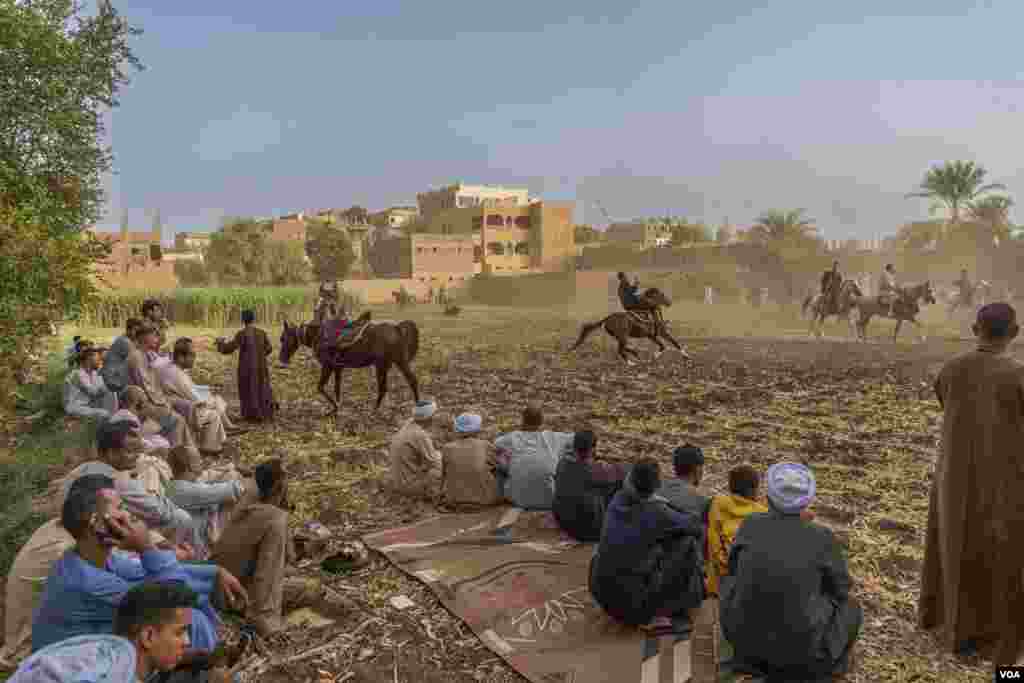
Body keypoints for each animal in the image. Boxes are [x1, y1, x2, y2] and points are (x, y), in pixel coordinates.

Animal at [280, 311, 419, 417]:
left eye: (282, 338)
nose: (282, 359)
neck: (317, 335)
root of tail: (397, 327)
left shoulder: (327, 366)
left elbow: (320, 387)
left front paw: (335, 408)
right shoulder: (337, 368)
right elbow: (337, 389)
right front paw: (337, 409)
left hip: (387, 364)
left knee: (401, 383)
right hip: (390, 364)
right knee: (397, 384)